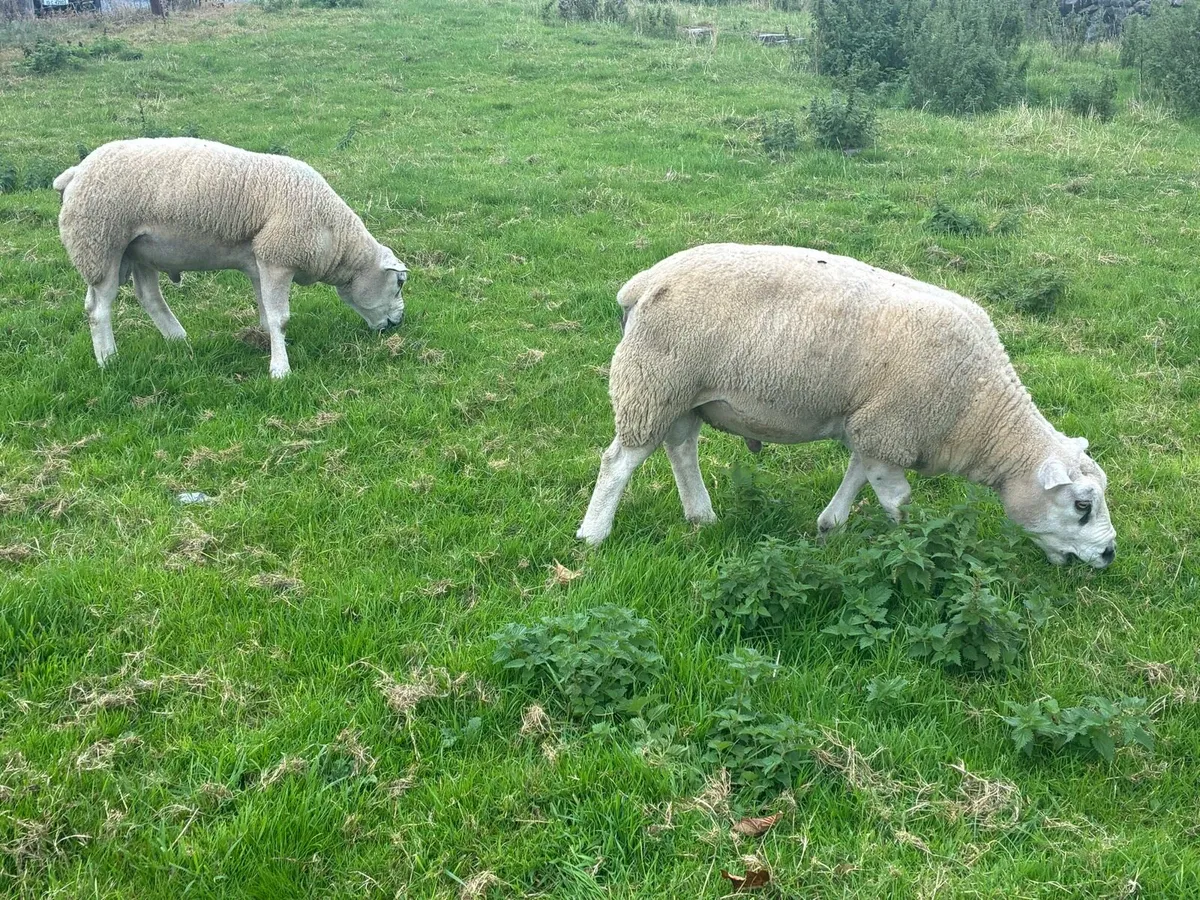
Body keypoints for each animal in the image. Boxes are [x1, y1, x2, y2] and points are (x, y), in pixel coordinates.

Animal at [54, 137, 409, 378]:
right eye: (400, 282)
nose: (398, 322)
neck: (334, 234)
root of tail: (73, 173)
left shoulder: (259, 263)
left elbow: (267, 312)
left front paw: (268, 343)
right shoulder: (278, 257)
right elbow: (280, 317)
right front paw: (280, 369)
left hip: (140, 250)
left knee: (149, 297)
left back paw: (178, 339)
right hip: (100, 244)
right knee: (98, 309)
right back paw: (108, 359)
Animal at [577, 243, 1117, 568]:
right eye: (1082, 505)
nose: (1110, 553)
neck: (980, 411)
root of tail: (642, 283)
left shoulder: (876, 429)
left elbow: (857, 477)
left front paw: (828, 527)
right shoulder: (890, 427)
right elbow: (899, 503)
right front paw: (920, 551)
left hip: (684, 394)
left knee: (680, 448)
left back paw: (701, 517)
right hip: (653, 381)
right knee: (620, 461)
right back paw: (594, 535)